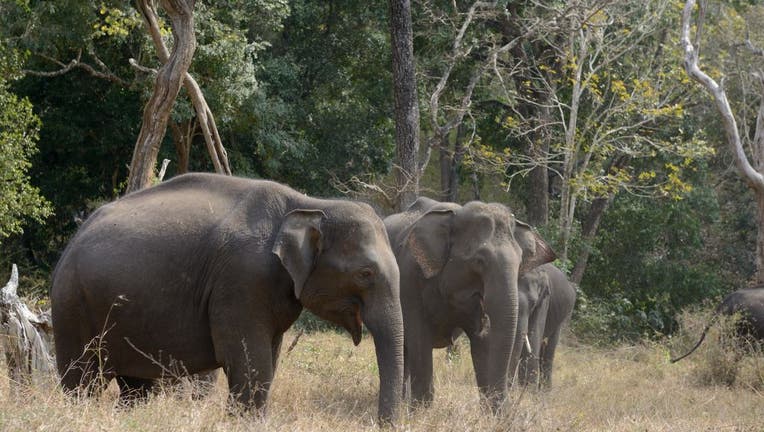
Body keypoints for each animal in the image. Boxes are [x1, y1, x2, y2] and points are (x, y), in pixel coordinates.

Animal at [50, 173, 402, 422]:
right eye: (365, 273)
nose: (382, 422)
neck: (309, 204)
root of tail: (73, 239)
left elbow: (268, 359)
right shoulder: (241, 280)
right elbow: (250, 362)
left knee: (135, 387)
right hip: (73, 305)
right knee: (83, 380)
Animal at [384, 197, 552, 410]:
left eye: (520, 261)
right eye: (479, 261)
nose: (508, 408)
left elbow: (484, 341)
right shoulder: (409, 278)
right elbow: (419, 337)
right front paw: (421, 411)